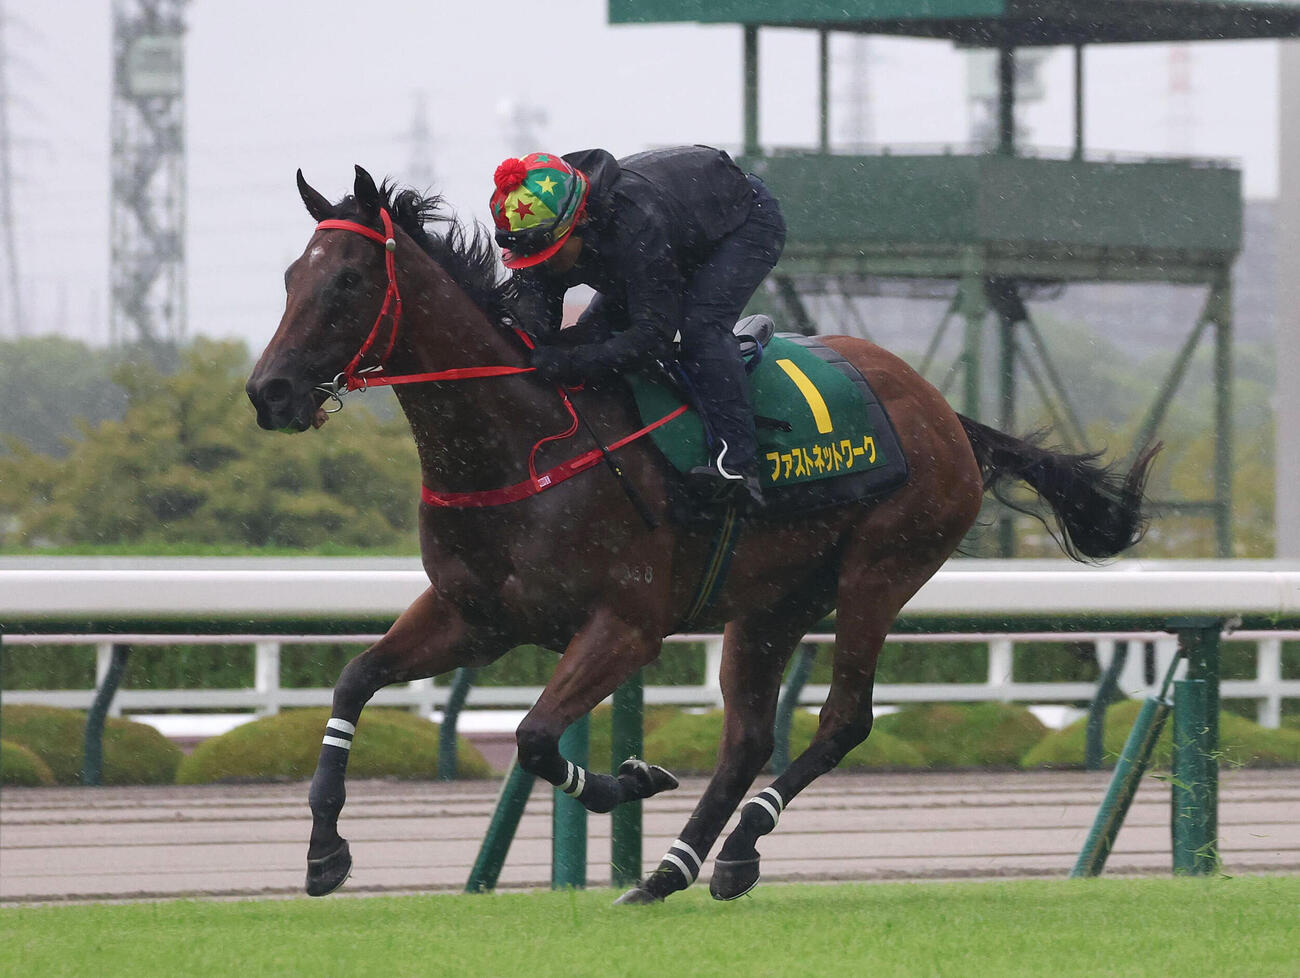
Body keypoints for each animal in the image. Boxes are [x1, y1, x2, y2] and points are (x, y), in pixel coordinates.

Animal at [246, 165, 1157, 904]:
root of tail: (944, 413)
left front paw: (633, 778)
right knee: (749, 736)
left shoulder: (626, 625)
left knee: (843, 719)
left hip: (880, 570)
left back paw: (738, 845)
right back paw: (672, 870)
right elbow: (354, 682)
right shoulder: (475, 616)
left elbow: (535, 737)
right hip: (770, 606)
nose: (270, 392)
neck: (523, 440)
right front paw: (324, 852)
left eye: (349, 279)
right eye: (291, 275)